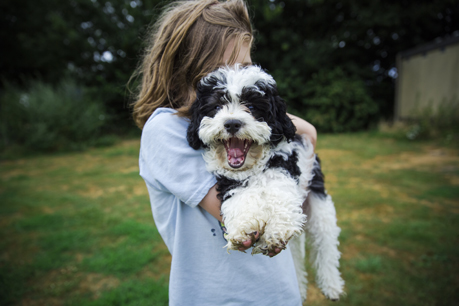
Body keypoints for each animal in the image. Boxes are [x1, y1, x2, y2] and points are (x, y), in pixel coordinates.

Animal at [187, 64, 344, 302]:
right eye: (217, 106)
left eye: (251, 106)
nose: (232, 123)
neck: (254, 167)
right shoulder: (231, 180)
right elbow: (240, 198)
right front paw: (242, 229)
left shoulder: (284, 164)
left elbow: (279, 191)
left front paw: (278, 229)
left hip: (320, 207)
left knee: (325, 244)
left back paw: (332, 285)